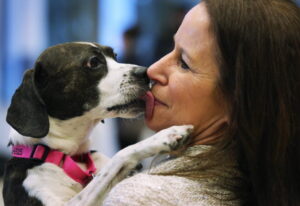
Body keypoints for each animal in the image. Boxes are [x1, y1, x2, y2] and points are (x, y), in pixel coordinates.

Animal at [3, 42, 193, 206]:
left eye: (115, 56)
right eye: (93, 62)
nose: (146, 72)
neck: (68, 157)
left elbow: (108, 170)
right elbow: (119, 156)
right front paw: (165, 135)